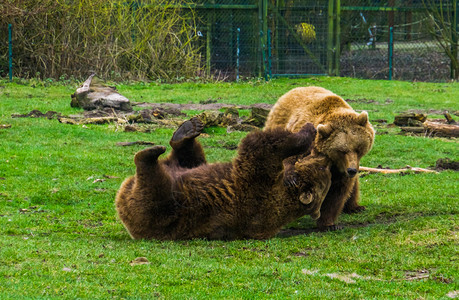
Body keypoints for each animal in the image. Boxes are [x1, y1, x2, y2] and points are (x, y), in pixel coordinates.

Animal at [114, 118, 330, 240]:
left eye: (322, 168)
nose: (326, 160)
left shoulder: (259, 185)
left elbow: (262, 144)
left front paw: (308, 130)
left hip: (165, 206)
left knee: (153, 184)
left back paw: (150, 153)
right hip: (183, 174)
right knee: (190, 159)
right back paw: (187, 130)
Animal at [264, 85, 376, 231]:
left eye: (358, 148)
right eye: (342, 150)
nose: (351, 170)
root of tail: (295, 89)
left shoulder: (342, 169)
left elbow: (338, 192)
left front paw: (329, 223)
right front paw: (290, 179)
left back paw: (355, 207)